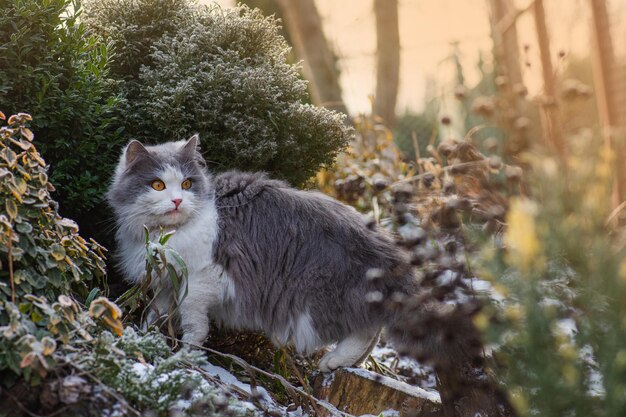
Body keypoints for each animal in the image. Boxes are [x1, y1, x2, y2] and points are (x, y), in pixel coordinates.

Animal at [108, 134, 416, 370]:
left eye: (186, 184)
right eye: (157, 185)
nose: (176, 201)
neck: (166, 233)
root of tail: (393, 252)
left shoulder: (204, 278)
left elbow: (194, 323)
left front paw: (186, 352)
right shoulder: (166, 281)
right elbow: (155, 312)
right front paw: (144, 336)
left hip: (317, 301)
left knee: (366, 330)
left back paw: (334, 361)